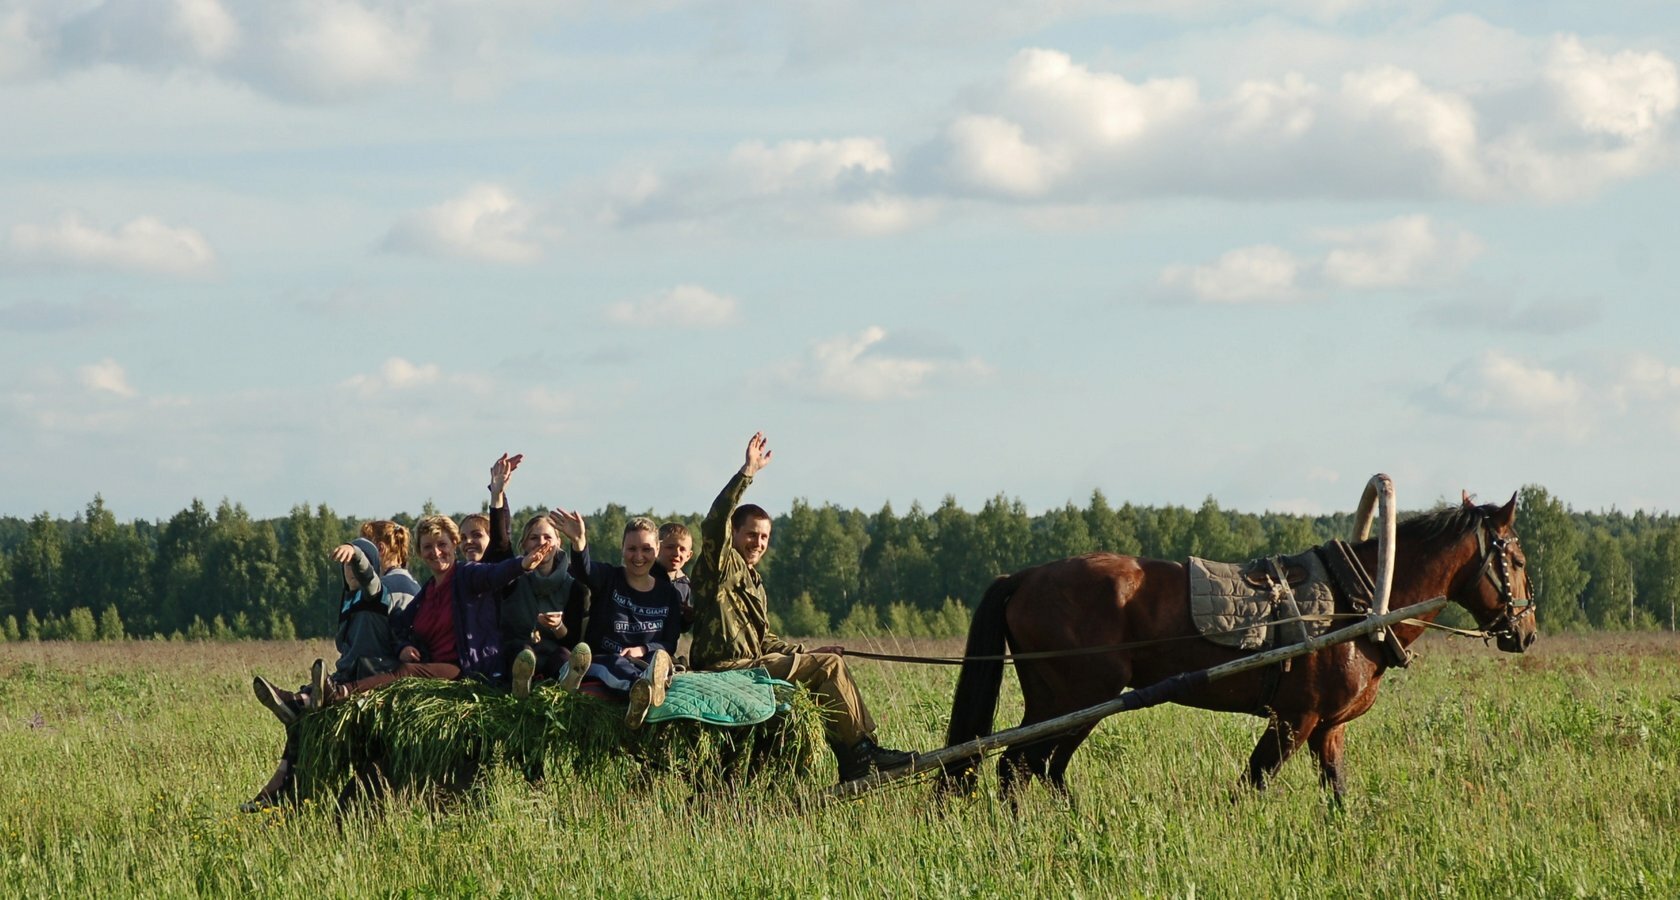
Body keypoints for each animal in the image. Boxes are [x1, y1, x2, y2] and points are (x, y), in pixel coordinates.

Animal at [947, 493, 1538, 802]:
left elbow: (1337, 794)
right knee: (1022, 768)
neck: (1361, 601)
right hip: (1079, 700)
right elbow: (1251, 787)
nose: (1527, 631)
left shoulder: (1328, 729)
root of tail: (1022, 576)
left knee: (1032, 770)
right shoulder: (1292, 720)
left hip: (1059, 704)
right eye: (1517, 560)